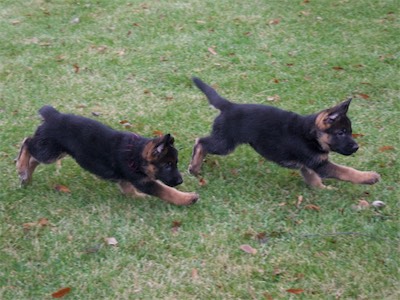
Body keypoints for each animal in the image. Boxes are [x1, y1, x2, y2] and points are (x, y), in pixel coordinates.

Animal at [16, 105, 198, 206]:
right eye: (167, 165)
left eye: (176, 163)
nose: (180, 181)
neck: (136, 154)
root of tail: (53, 115)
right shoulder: (144, 181)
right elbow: (167, 191)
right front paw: (188, 198)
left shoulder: (127, 180)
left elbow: (130, 192)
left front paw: (141, 198)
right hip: (50, 152)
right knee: (27, 142)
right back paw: (21, 166)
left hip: (54, 151)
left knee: (33, 158)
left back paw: (26, 177)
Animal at [189, 77, 380, 188]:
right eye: (341, 133)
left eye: (350, 132)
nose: (356, 147)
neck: (311, 135)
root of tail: (229, 106)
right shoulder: (319, 164)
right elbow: (346, 171)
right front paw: (369, 177)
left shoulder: (308, 165)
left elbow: (313, 179)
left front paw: (321, 189)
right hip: (225, 143)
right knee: (200, 142)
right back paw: (194, 167)